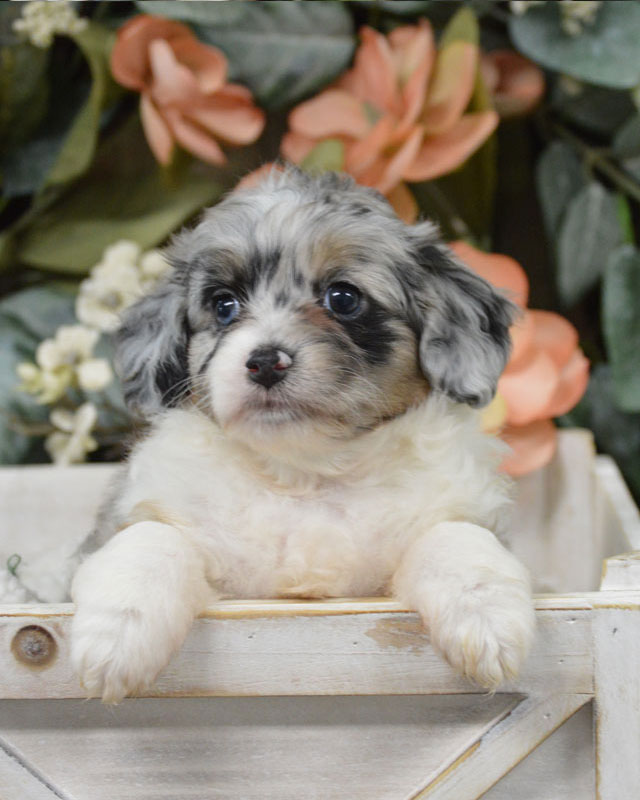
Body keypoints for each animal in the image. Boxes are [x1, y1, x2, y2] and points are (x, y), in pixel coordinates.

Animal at [70, 167, 536, 700]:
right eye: (223, 304)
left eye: (344, 298)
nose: (264, 361)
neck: (304, 474)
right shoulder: (148, 515)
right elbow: (150, 538)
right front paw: (117, 634)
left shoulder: (449, 520)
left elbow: (456, 535)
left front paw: (487, 617)